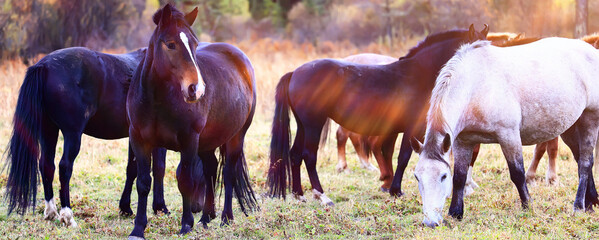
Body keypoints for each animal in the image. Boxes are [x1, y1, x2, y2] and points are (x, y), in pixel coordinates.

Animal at [3, 45, 175, 227]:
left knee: (46, 165)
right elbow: (159, 168)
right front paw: (161, 208)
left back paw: (51, 212)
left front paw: (126, 208)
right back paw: (68, 216)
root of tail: (44, 66)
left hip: (48, 130)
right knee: (65, 167)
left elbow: (132, 169)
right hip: (72, 134)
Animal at [126, 4, 258, 238]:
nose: (196, 89)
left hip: (236, 136)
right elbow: (143, 182)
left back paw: (226, 218)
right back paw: (206, 217)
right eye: (170, 44)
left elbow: (185, 181)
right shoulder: (139, 139)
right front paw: (138, 228)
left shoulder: (189, 140)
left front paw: (186, 224)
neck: (156, 99)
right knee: (210, 168)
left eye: (195, 44)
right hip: (208, 141)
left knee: (228, 173)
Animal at [270, 24, 490, 204]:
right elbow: (403, 157)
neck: (420, 75)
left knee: (295, 154)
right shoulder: (413, 128)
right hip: (313, 125)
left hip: (303, 125)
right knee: (309, 156)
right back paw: (322, 196)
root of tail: (295, 73)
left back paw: (299, 195)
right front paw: (395, 190)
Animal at [412, 37, 599, 227]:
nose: (430, 222)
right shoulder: (462, 141)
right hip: (570, 127)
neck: (475, 85)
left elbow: (517, 173)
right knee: (581, 159)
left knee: (585, 163)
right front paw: (456, 212)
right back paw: (591, 202)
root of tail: (592, 51)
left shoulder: (509, 136)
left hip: (590, 119)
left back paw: (578, 206)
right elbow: (459, 176)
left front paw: (528, 206)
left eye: (443, 176)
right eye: (417, 177)